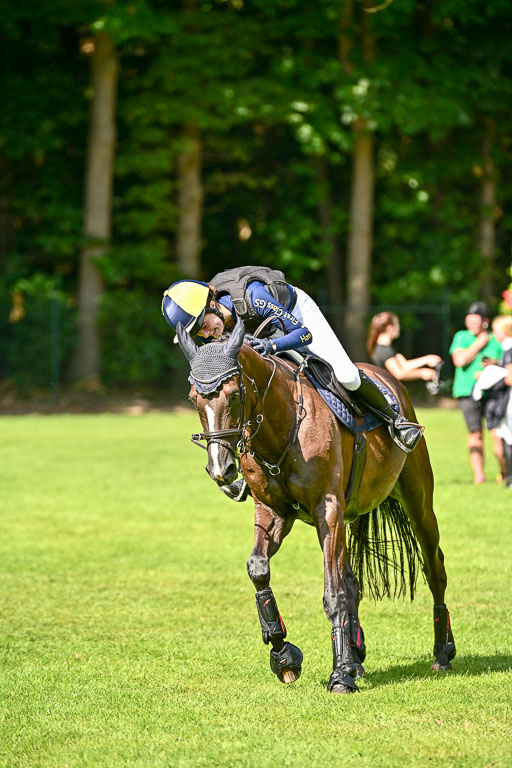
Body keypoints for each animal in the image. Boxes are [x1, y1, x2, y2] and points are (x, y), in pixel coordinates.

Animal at [176, 317, 456, 693]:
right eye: (194, 399)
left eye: (234, 395)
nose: (221, 469)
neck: (280, 423)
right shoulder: (273, 512)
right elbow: (259, 570)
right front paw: (283, 656)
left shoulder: (328, 509)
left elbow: (332, 594)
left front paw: (339, 676)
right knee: (352, 582)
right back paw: (355, 657)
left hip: (417, 501)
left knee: (433, 567)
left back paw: (441, 652)